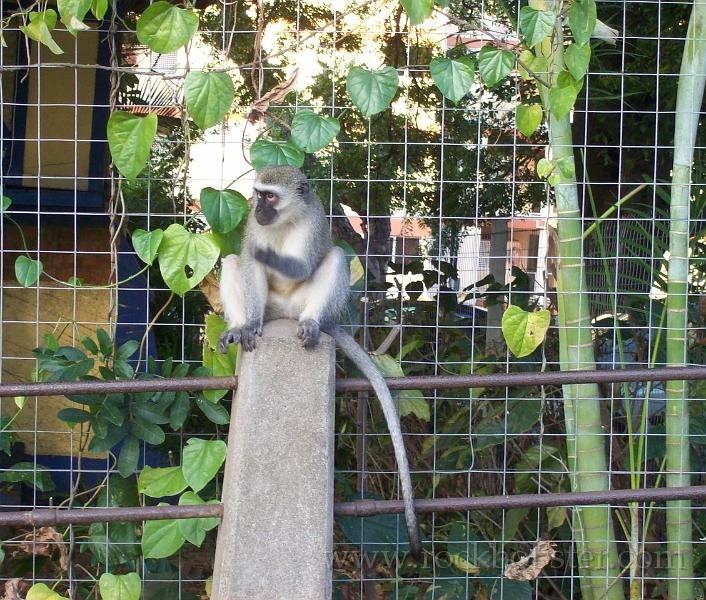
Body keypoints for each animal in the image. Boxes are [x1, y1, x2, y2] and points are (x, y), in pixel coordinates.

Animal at [217, 165, 420, 556]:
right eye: (258, 195)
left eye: (270, 196)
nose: (258, 209)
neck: (286, 220)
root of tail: (284, 315)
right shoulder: (252, 227)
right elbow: (248, 265)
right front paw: (247, 325)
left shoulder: (313, 223)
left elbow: (301, 265)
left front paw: (267, 255)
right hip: (272, 307)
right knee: (235, 263)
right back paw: (239, 327)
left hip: (300, 305)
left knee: (337, 257)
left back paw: (312, 323)